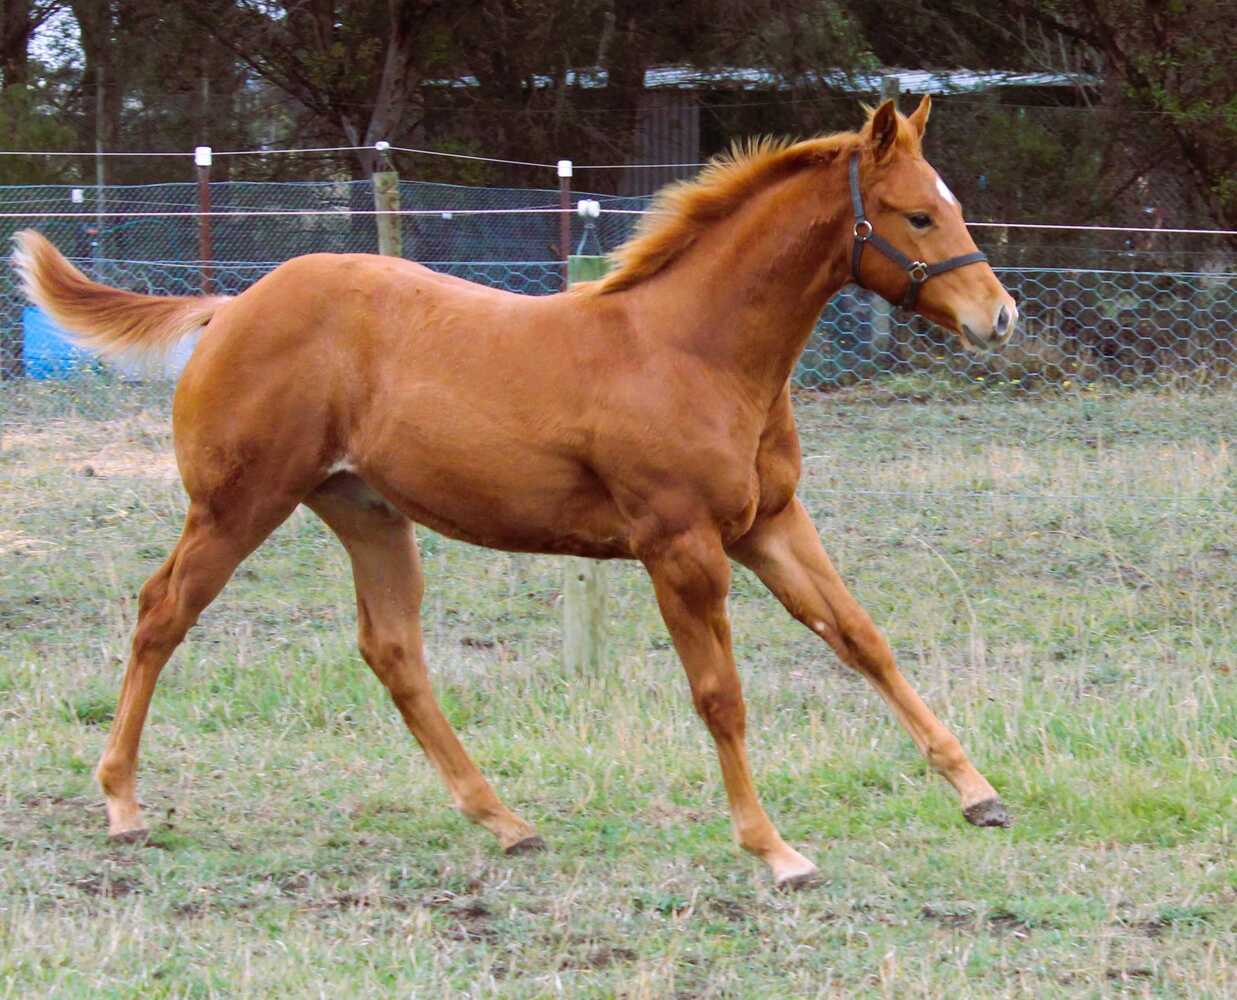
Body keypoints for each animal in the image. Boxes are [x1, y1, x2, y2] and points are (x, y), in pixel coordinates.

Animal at [16, 96, 1017, 888]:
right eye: (915, 215)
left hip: (367, 515)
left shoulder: (768, 523)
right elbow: (720, 695)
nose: (997, 317)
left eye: (952, 207)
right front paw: (774, 851)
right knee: (161, 612)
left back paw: (504, 822)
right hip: (236, 507)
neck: (690, 349)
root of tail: (230, 307)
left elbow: (861, 639)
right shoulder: (681, 546)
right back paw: (122, 805)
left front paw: (978, 794)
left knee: (392, 651)